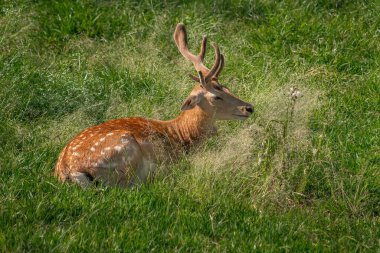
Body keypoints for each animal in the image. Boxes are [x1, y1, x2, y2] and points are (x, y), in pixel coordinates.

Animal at [53, 23, 254, 186]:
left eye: (226, 87)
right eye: (216, 96)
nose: (249, 107)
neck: (182, 134)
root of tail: (68, 171)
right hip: (125, 151)